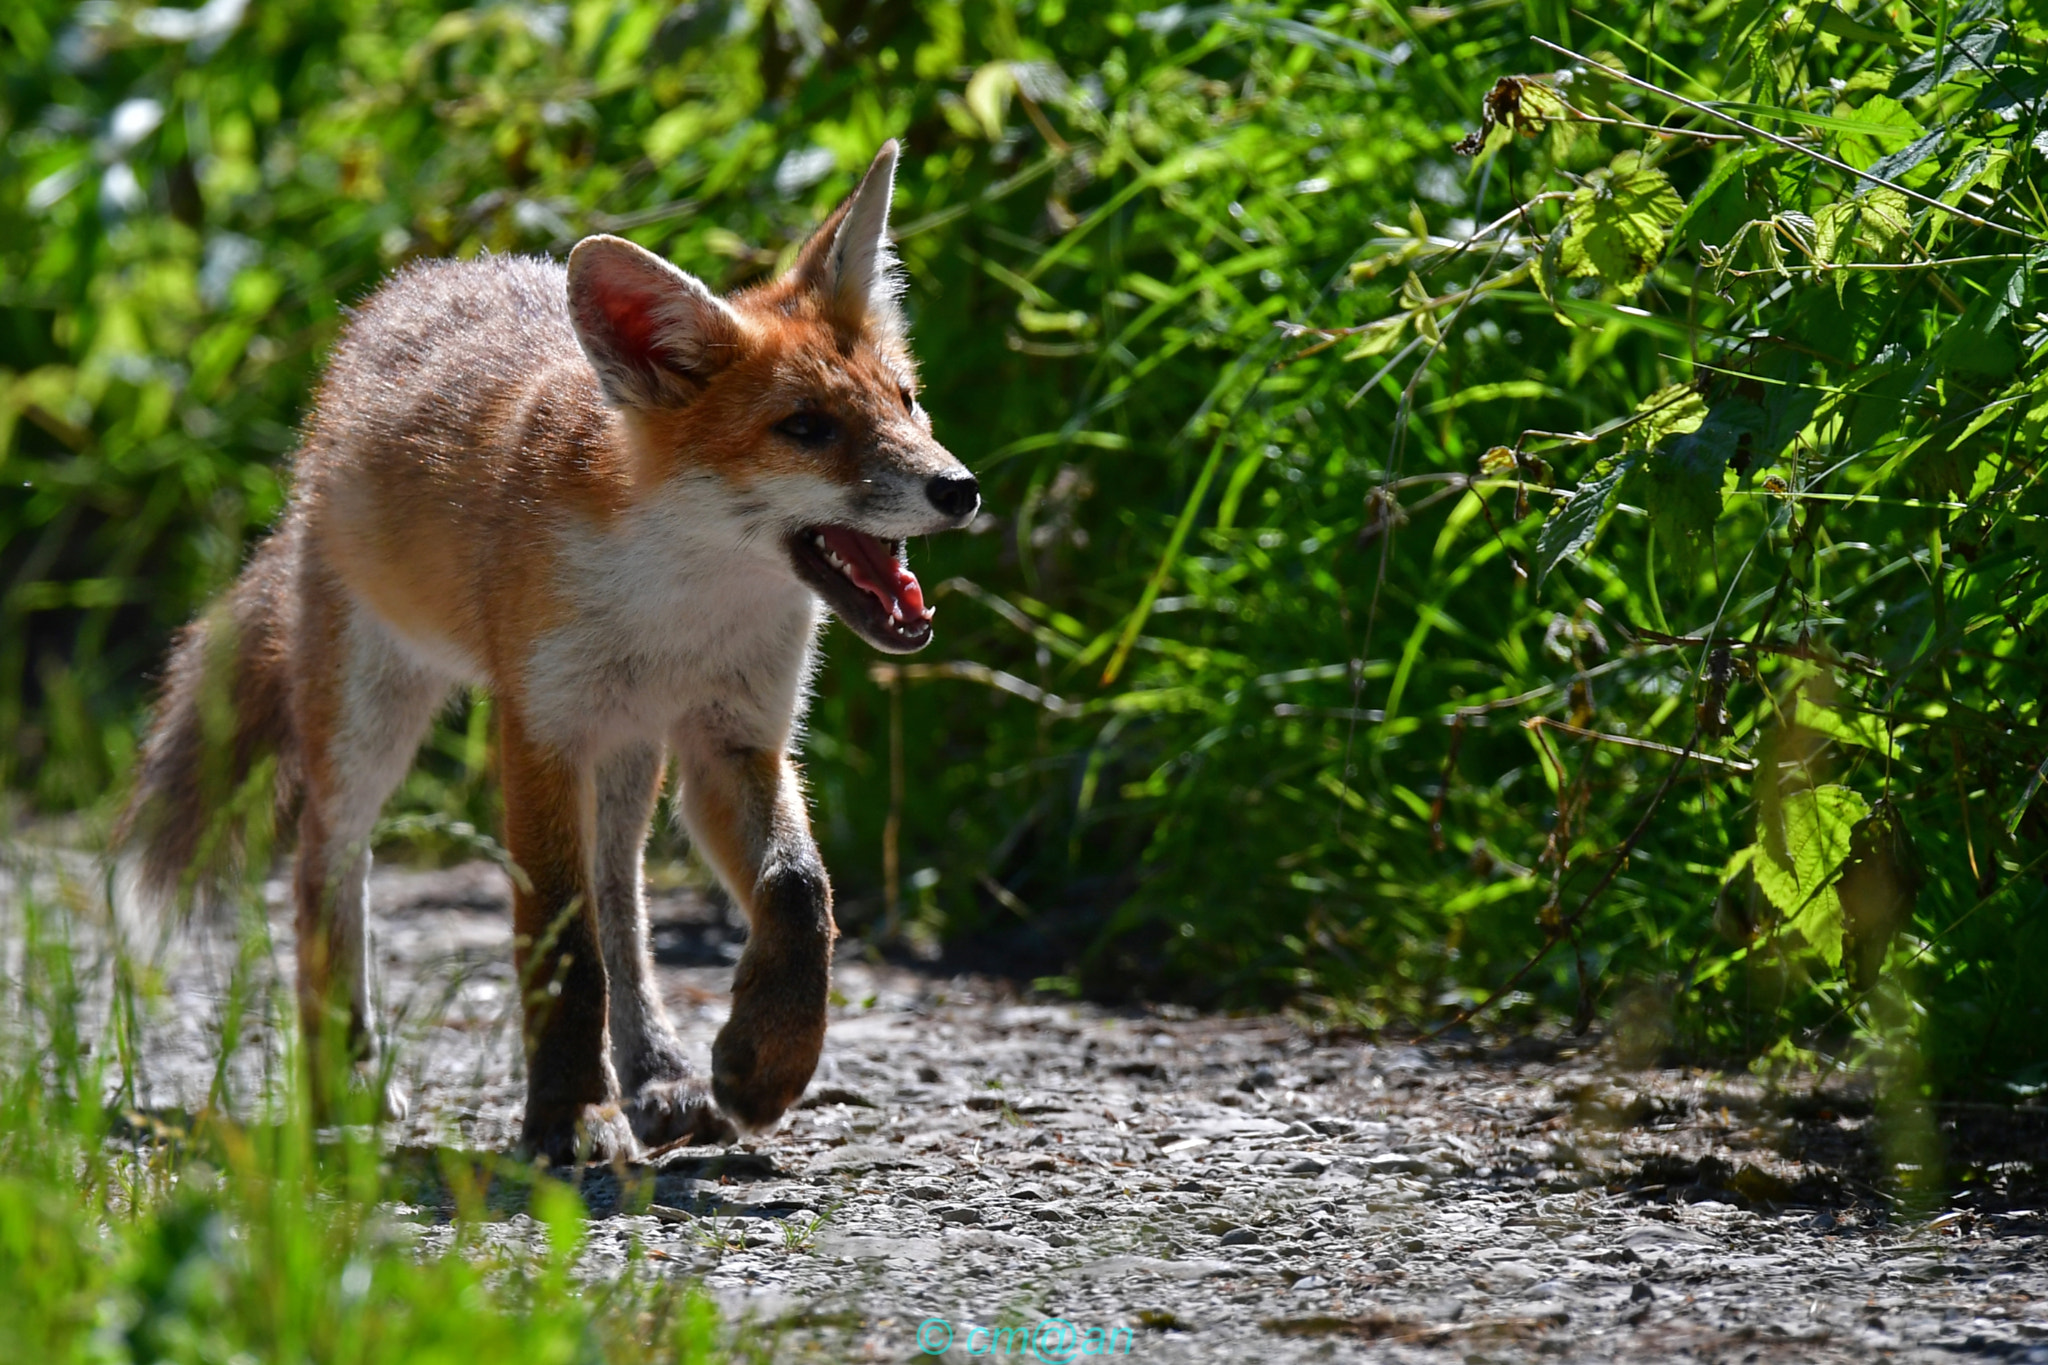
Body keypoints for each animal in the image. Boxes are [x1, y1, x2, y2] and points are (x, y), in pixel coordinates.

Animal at [117, 142, 977, 1164]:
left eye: (907, 401)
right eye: (805, 427)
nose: (960, 488)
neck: (679, 610)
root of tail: (421, 284)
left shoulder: (732, 737)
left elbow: (798, 893)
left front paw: (762, 1062)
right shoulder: (540, 731)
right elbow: (562, 948)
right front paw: (569, 1114)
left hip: (626, 760)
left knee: (623, 905)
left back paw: (659, 1074)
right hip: (374, 718)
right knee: (327, 866)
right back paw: (344, 1074)